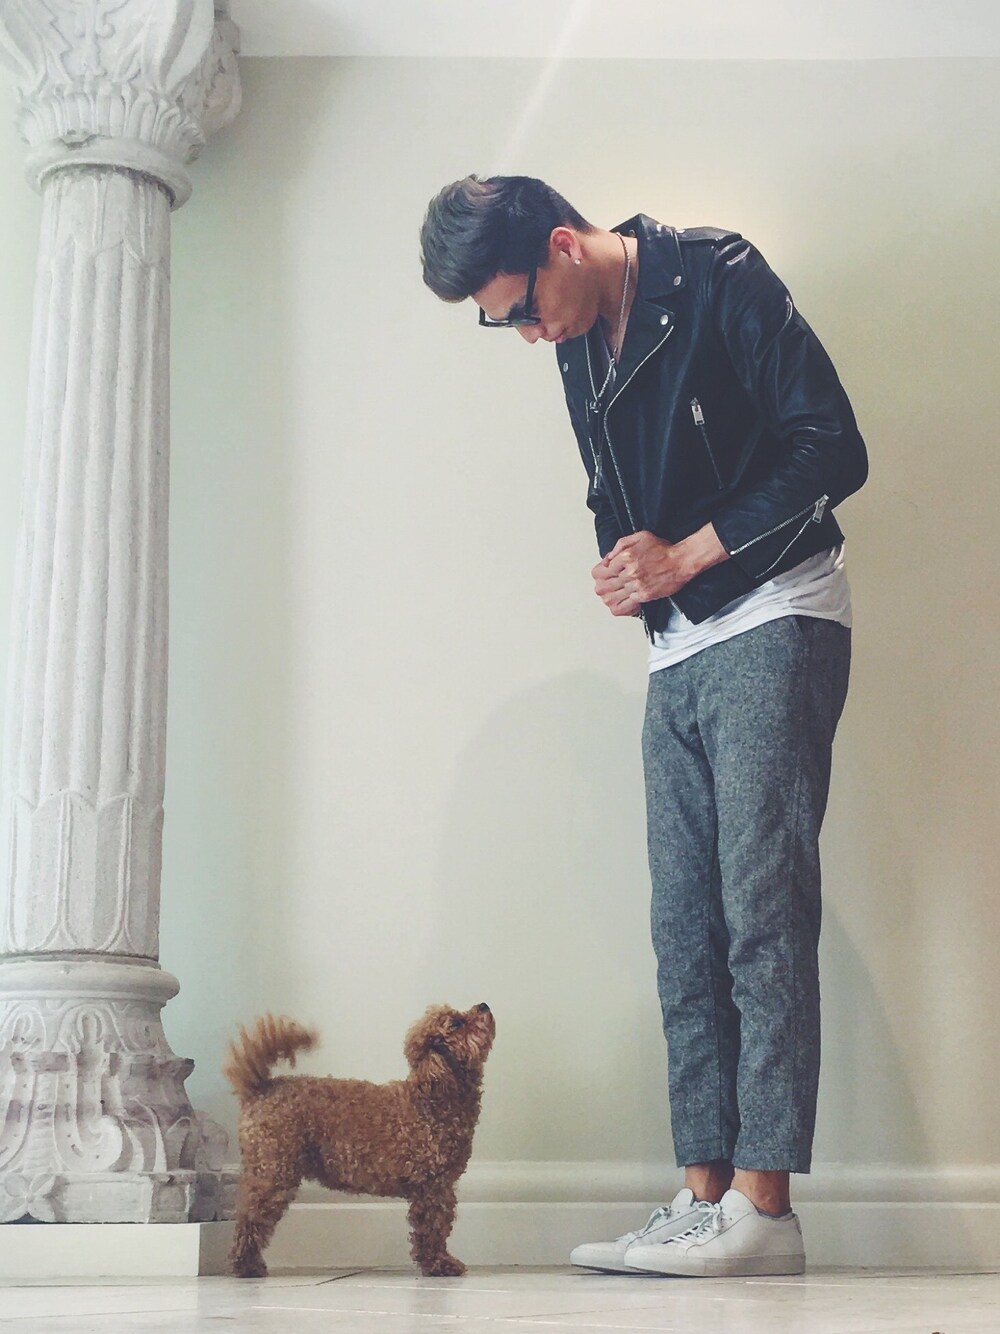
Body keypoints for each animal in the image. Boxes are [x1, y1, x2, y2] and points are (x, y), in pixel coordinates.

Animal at [224, 1002, 495, 1277]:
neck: (435, 1098)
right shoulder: (433, 1186)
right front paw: (439, 1264)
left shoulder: (438, 1187)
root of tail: (260, 1088)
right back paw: (246, 1265)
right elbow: (433, 1230)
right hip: (274, 1170)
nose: (483, 1005)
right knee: (249, 1218)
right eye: (456, 1023)